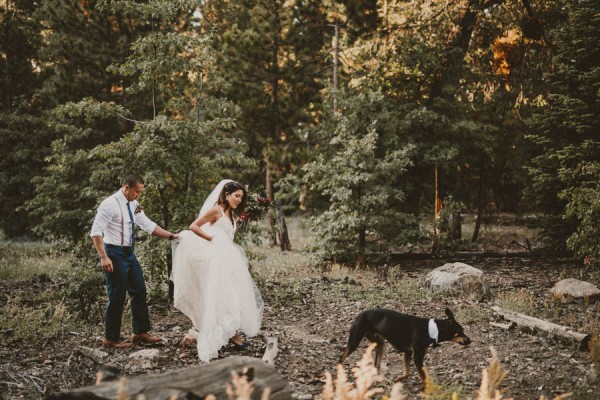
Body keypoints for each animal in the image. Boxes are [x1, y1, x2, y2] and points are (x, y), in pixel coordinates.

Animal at [340, 308, 472, 386]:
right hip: (354, 341)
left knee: (376, 364)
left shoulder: (408, 353)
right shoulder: (417, 357)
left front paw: (398, 379)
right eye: (460, 332)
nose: (470, 340)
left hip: (380, 343)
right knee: (342, 356)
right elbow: (423, 377)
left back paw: (381, 380)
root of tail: (360, 313)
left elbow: (407, 372)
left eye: (463, 331)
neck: (431, 330)